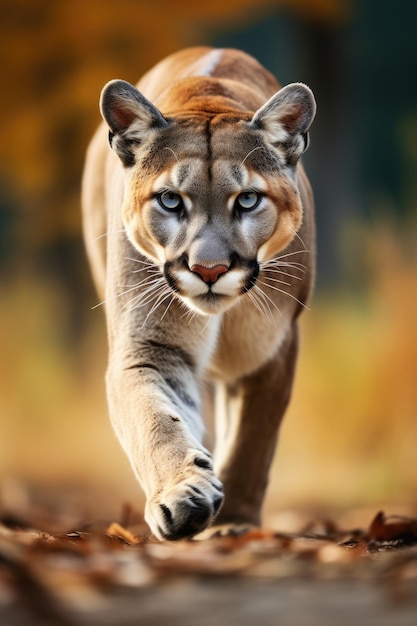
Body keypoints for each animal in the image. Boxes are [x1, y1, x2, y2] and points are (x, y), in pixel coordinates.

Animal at [81, 47, 316, 536]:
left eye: (247, 199)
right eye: (170, 200)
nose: (209, 269)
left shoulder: (271, 348)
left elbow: (251, 440)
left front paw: (236, 522)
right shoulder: (150, 345)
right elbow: (156, 421)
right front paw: (183, 493)